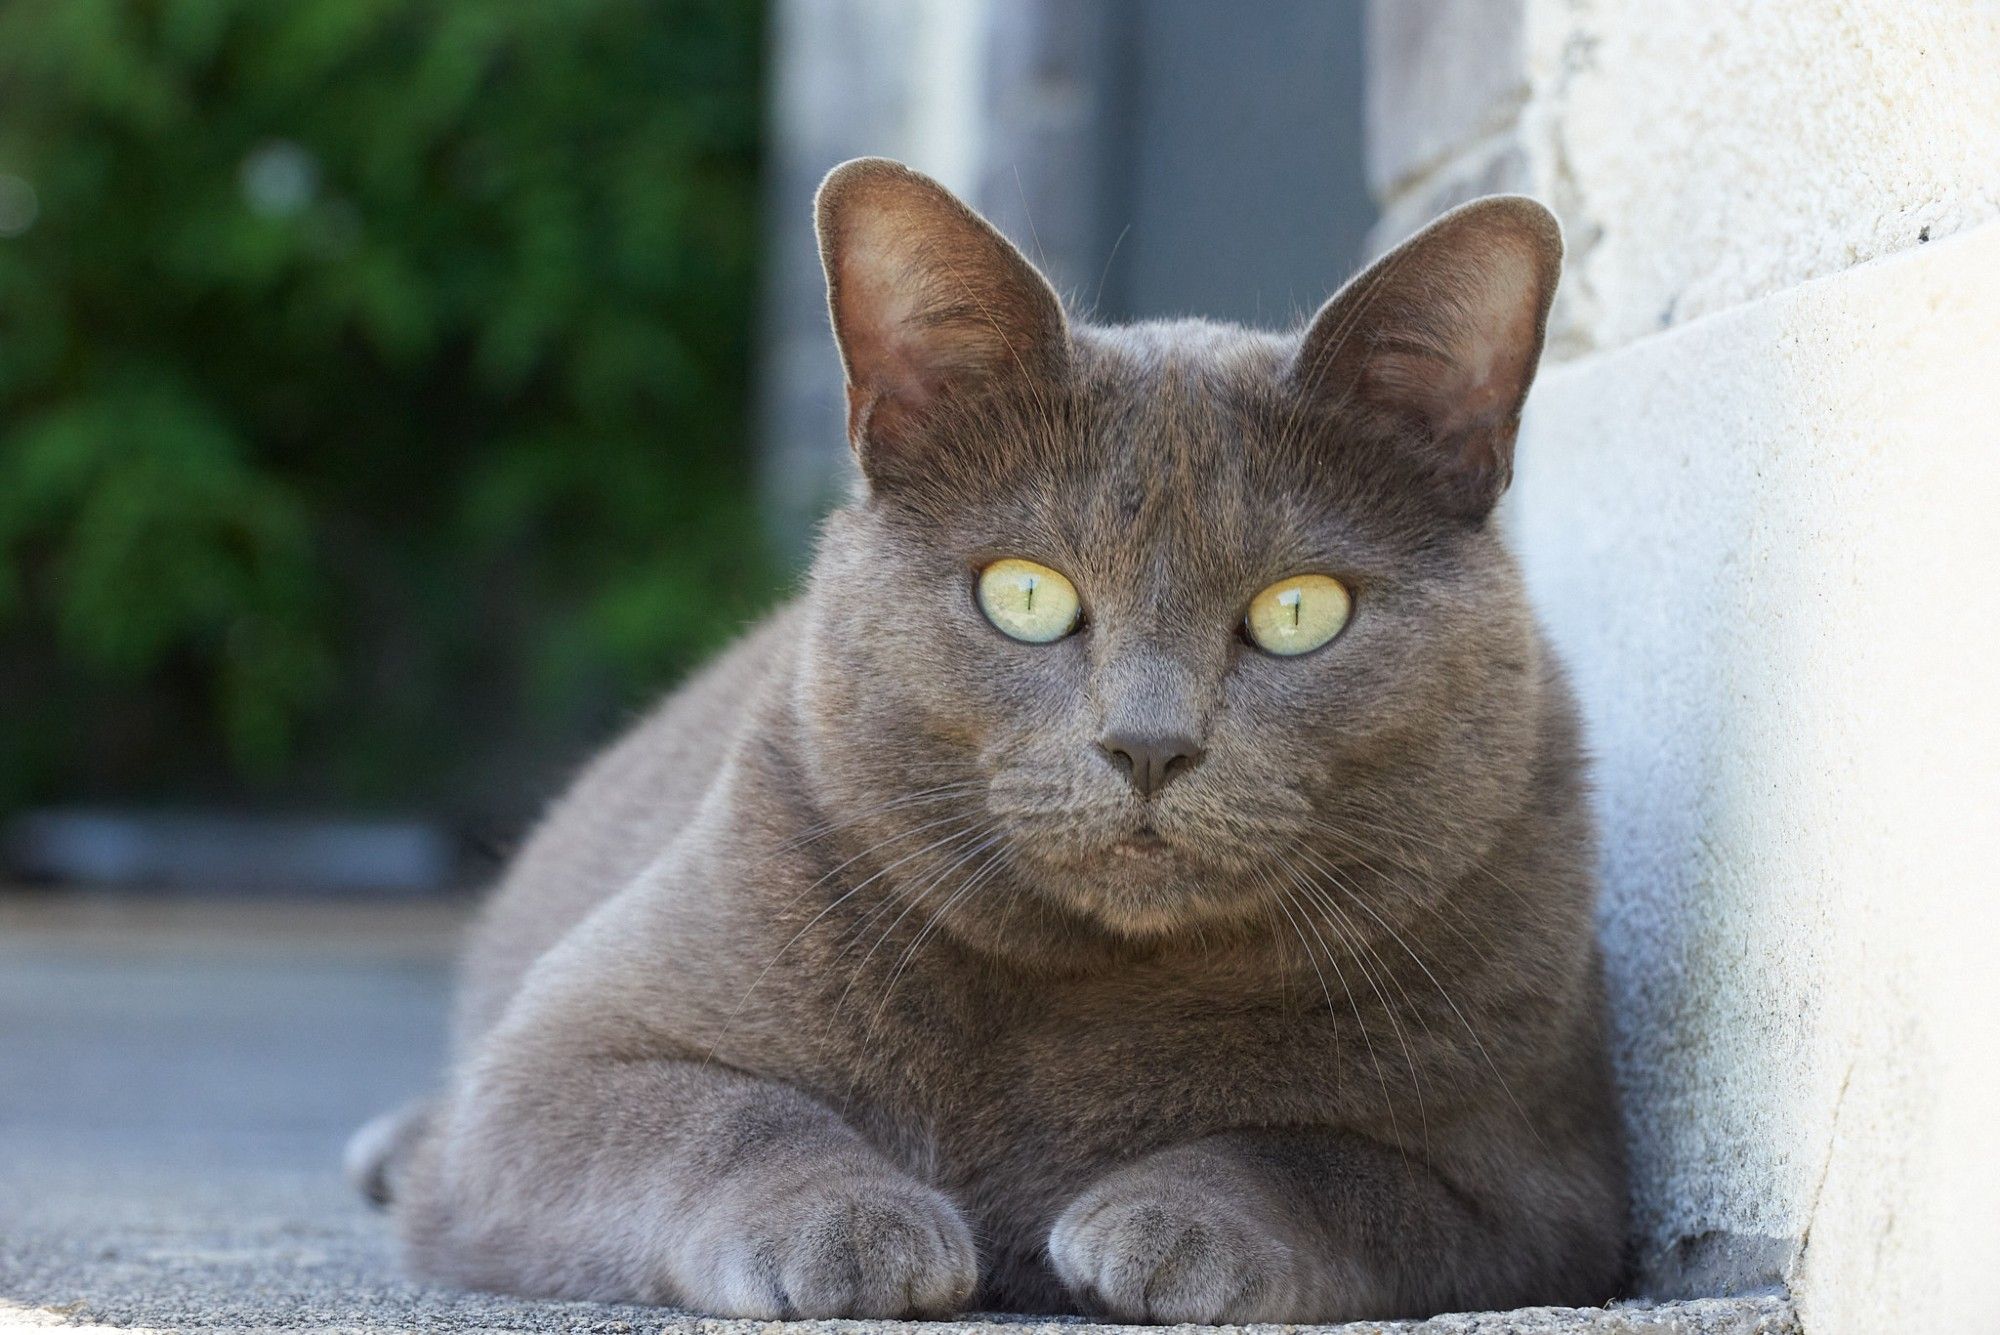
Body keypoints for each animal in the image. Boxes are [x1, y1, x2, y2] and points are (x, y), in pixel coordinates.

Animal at [348, 156, 1624, 1327]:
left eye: (1299, 612)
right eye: (1025, 596)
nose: (1147, 743)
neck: (1092, 993)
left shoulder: (1545, 1185)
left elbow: (1332, 1166)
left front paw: (1173, 1223)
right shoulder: (558, 1060)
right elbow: (715, 1115)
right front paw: (848, 1226)